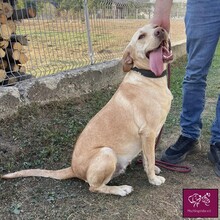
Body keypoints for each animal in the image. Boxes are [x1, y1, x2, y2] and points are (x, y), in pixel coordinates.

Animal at [1, 24, 174, 196]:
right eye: (141, 36)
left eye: (155, 26)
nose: (161, 30)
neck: (148, 77)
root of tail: (73, 169)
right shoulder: (148, 133)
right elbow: (150, 158)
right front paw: (153, 180)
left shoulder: (147, 137)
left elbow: (147, 158)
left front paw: (153, 170)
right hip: (106, 152)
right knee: (94, 186)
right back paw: (120, 189)